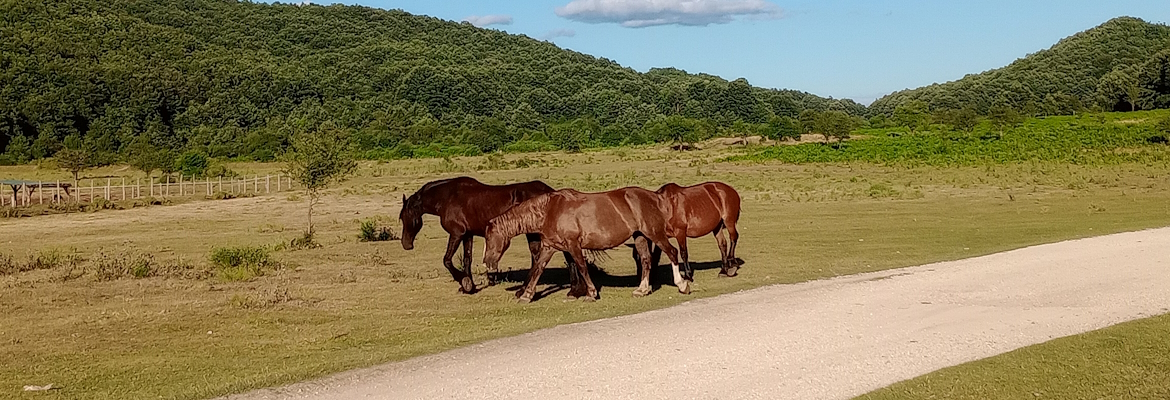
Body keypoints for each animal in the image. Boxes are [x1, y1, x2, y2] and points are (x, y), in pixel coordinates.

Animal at [400, 177, 576, 294]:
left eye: (404, 217)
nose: (406, 244)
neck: (448, 197)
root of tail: (551, 191)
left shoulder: (456, 234)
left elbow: (447, 260)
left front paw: (465, 283)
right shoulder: (467, 235)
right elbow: (467, 259)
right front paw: (469, 286)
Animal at [483, 187, 687, 303]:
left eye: (489, 237)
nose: (487, 261)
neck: (550, 210)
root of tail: (655, 197)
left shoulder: (573, 245)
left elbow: (582, 267)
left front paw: (591, 293)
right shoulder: (549, 247)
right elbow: (538, 269)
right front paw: (527, 295)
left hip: (655, 233)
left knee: (672, 252)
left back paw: (682, 285)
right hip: (640, 236)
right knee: (646, 260)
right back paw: (642, 290)